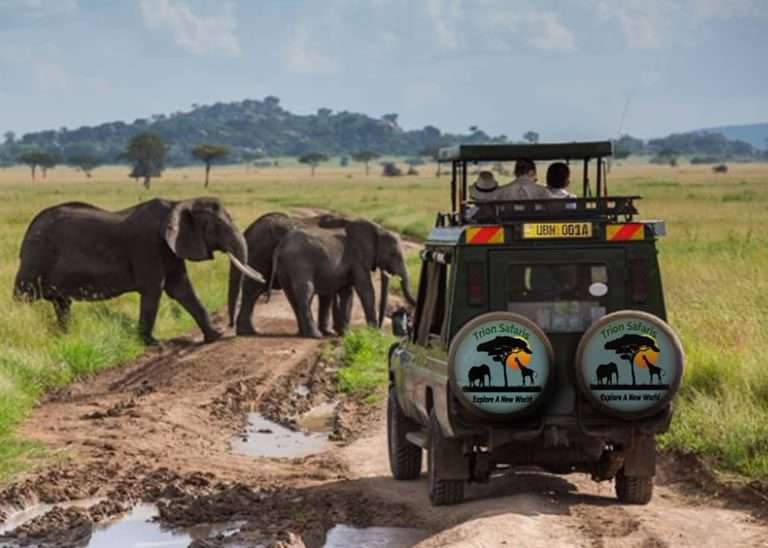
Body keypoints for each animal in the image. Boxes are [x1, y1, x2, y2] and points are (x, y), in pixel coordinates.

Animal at [14, 196, 264, 342]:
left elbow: (182, 289)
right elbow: (154, 290)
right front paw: (151, 343)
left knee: (62, 302)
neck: (179, 203)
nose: (230, 326)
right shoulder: (148, 246)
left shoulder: (171, 248)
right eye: (217, 227)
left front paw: (214, 336)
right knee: (24, 296)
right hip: (36, 256)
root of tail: (30, 227)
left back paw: (66, 337)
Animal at [268, 218, 414, 338]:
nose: (380, 327)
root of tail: (280, 246)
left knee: (292, 297)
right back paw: (315, 335)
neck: (378, 229)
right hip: (299, 263)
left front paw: (346, 334)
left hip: (284, 267)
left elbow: (347, 293)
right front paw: (375, 334)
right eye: (393, 254)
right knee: (306, 292)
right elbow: (366, 290)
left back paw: (303, 333)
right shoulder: (357, 260)